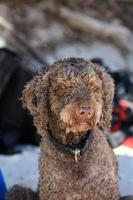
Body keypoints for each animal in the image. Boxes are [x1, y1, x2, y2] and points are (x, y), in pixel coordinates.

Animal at [6, 57, 133, 200]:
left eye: (94, 87)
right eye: (63, 87)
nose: (86, 110)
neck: (75, 150)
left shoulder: (105, 191)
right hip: (18, 191)